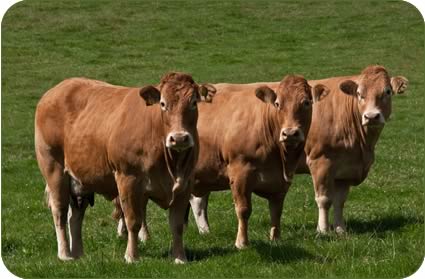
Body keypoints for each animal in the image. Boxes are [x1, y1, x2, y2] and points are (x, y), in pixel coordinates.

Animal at [34, 72, 215, 264]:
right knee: (59, 210)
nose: (179, 138)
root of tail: (57, 89)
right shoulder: (128, 179)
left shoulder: (185, 183)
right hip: (53, 169)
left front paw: (180, 258)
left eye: (194, 103)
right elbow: (133, 221)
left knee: (75, 215)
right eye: (163, 104)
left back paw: (78, 254)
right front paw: (131, 256)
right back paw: (65, 254)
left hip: (81, 180)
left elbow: (177, 224)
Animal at [112, 75, 328, 249]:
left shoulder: (281, 181)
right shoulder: (240, 173)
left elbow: (276, 211)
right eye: (277, 104)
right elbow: (243, 210)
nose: (290, 133)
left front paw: (275, 239)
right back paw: (141, 236)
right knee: (134, 206)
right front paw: (242, 243)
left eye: (307, 103)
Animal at [187, 65, 406, 236]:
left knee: (199, 199)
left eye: (387, 92)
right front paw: (322, 230)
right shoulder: (320, 161)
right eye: (360, 93)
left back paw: (205, 231)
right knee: (197, 200)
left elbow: (340, 201)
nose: (371, 116)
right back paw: (205, 230)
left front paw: (340, 229)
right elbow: (324, 199)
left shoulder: (346, 168)